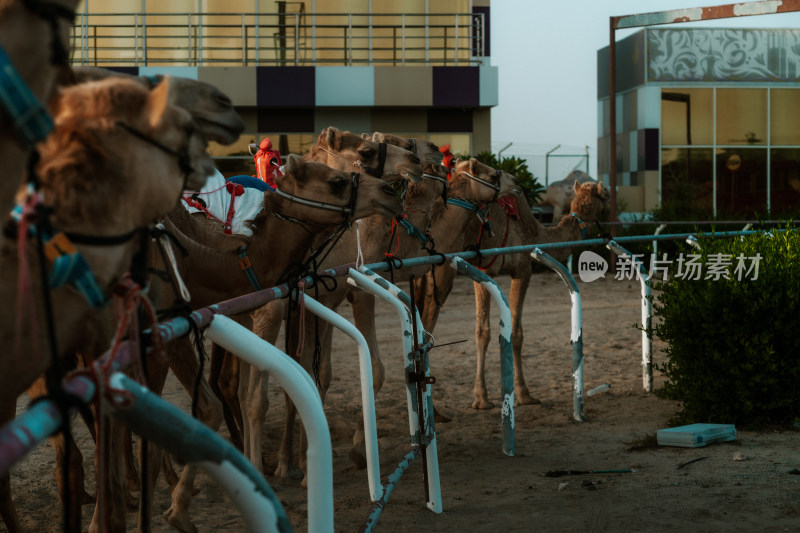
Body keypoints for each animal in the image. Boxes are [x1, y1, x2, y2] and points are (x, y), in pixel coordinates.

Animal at [418, 181, 608, 410]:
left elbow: (482, 331)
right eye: (605, 196)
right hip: (441, 272)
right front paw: (524, 394)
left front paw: (481, 398)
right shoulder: (522, 268)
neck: (536, 233)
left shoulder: (483, 270)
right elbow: (517, 333)